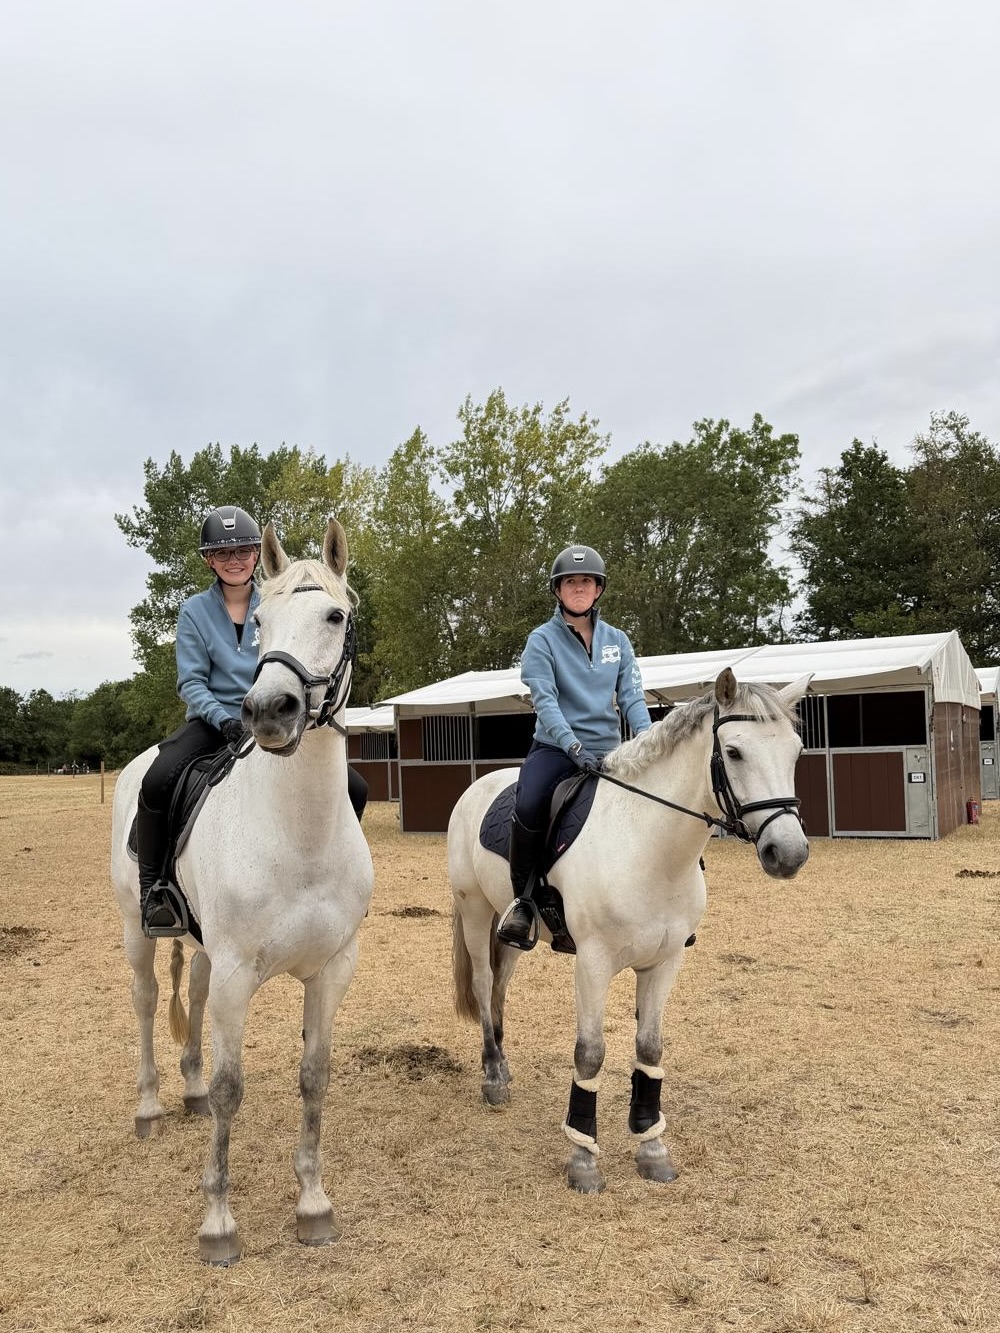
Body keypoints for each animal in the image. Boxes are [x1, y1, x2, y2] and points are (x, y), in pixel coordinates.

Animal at [110, 518, 374, 1263]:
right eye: (259, 622)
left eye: (334, 616)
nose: (268, 712)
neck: (297, 833)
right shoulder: (237, 973)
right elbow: (234, 1090)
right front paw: (219, 1222)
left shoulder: (332, 970)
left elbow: (314, 1076)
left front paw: (313, 1204)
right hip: (137, 931)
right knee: (147, 1002)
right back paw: (150, 1105)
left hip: (204, 952)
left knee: (192, 997)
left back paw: (189, 1089)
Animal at [448, 668, 810, 1193]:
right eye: (734, 752)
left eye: (796, 750)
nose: (789, 853)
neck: (648, 846)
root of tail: (479, 786)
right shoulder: (593, 964)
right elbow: (590, 1054)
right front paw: (583, 1157)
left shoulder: (664, 962)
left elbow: (649, 1048)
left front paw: (651, 1146)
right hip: (474, 911)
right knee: (480, 981)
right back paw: (493, 1076)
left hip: (510, 928)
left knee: (499, 986)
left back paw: (504, 1067)